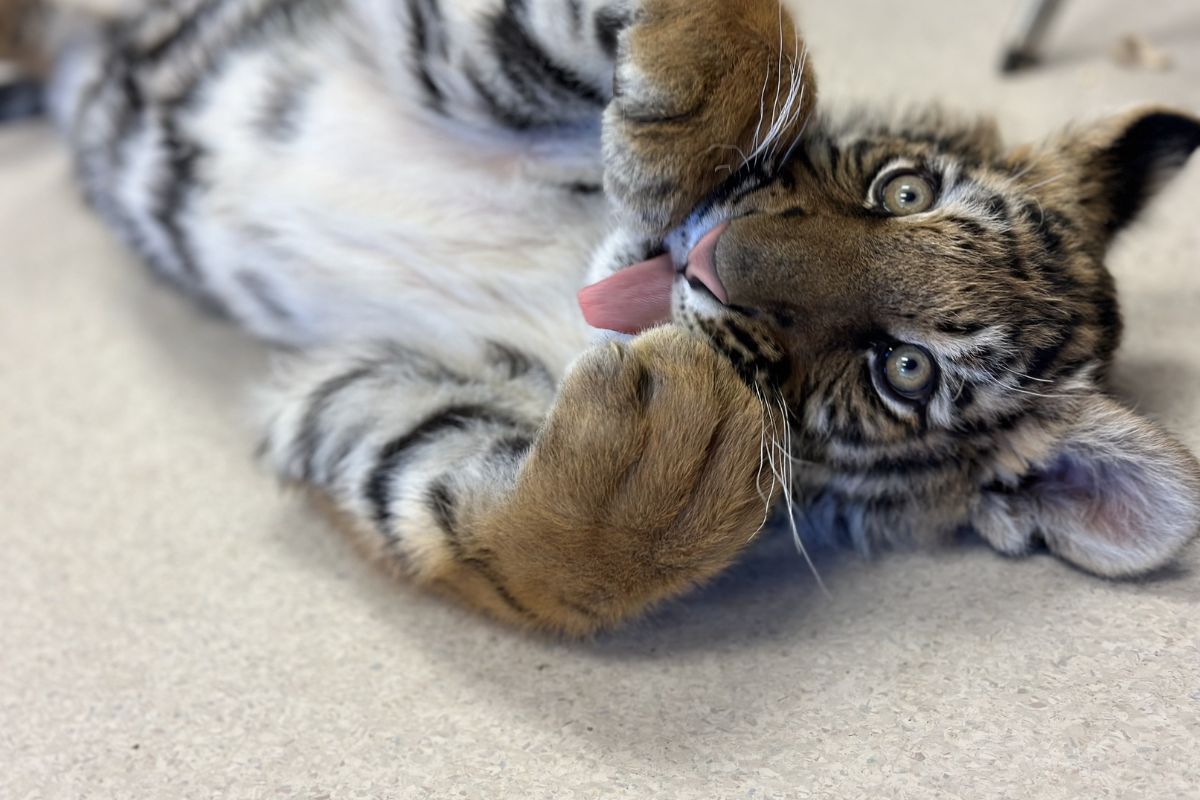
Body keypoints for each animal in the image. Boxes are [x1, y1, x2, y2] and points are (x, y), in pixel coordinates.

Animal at [3, 0, 1199, 636]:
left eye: (901, 372)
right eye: (902, 189)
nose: (715, 262)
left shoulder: (380, 396)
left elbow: (540, 550)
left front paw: (680, 440)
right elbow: (752, 34)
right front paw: (687, 125)